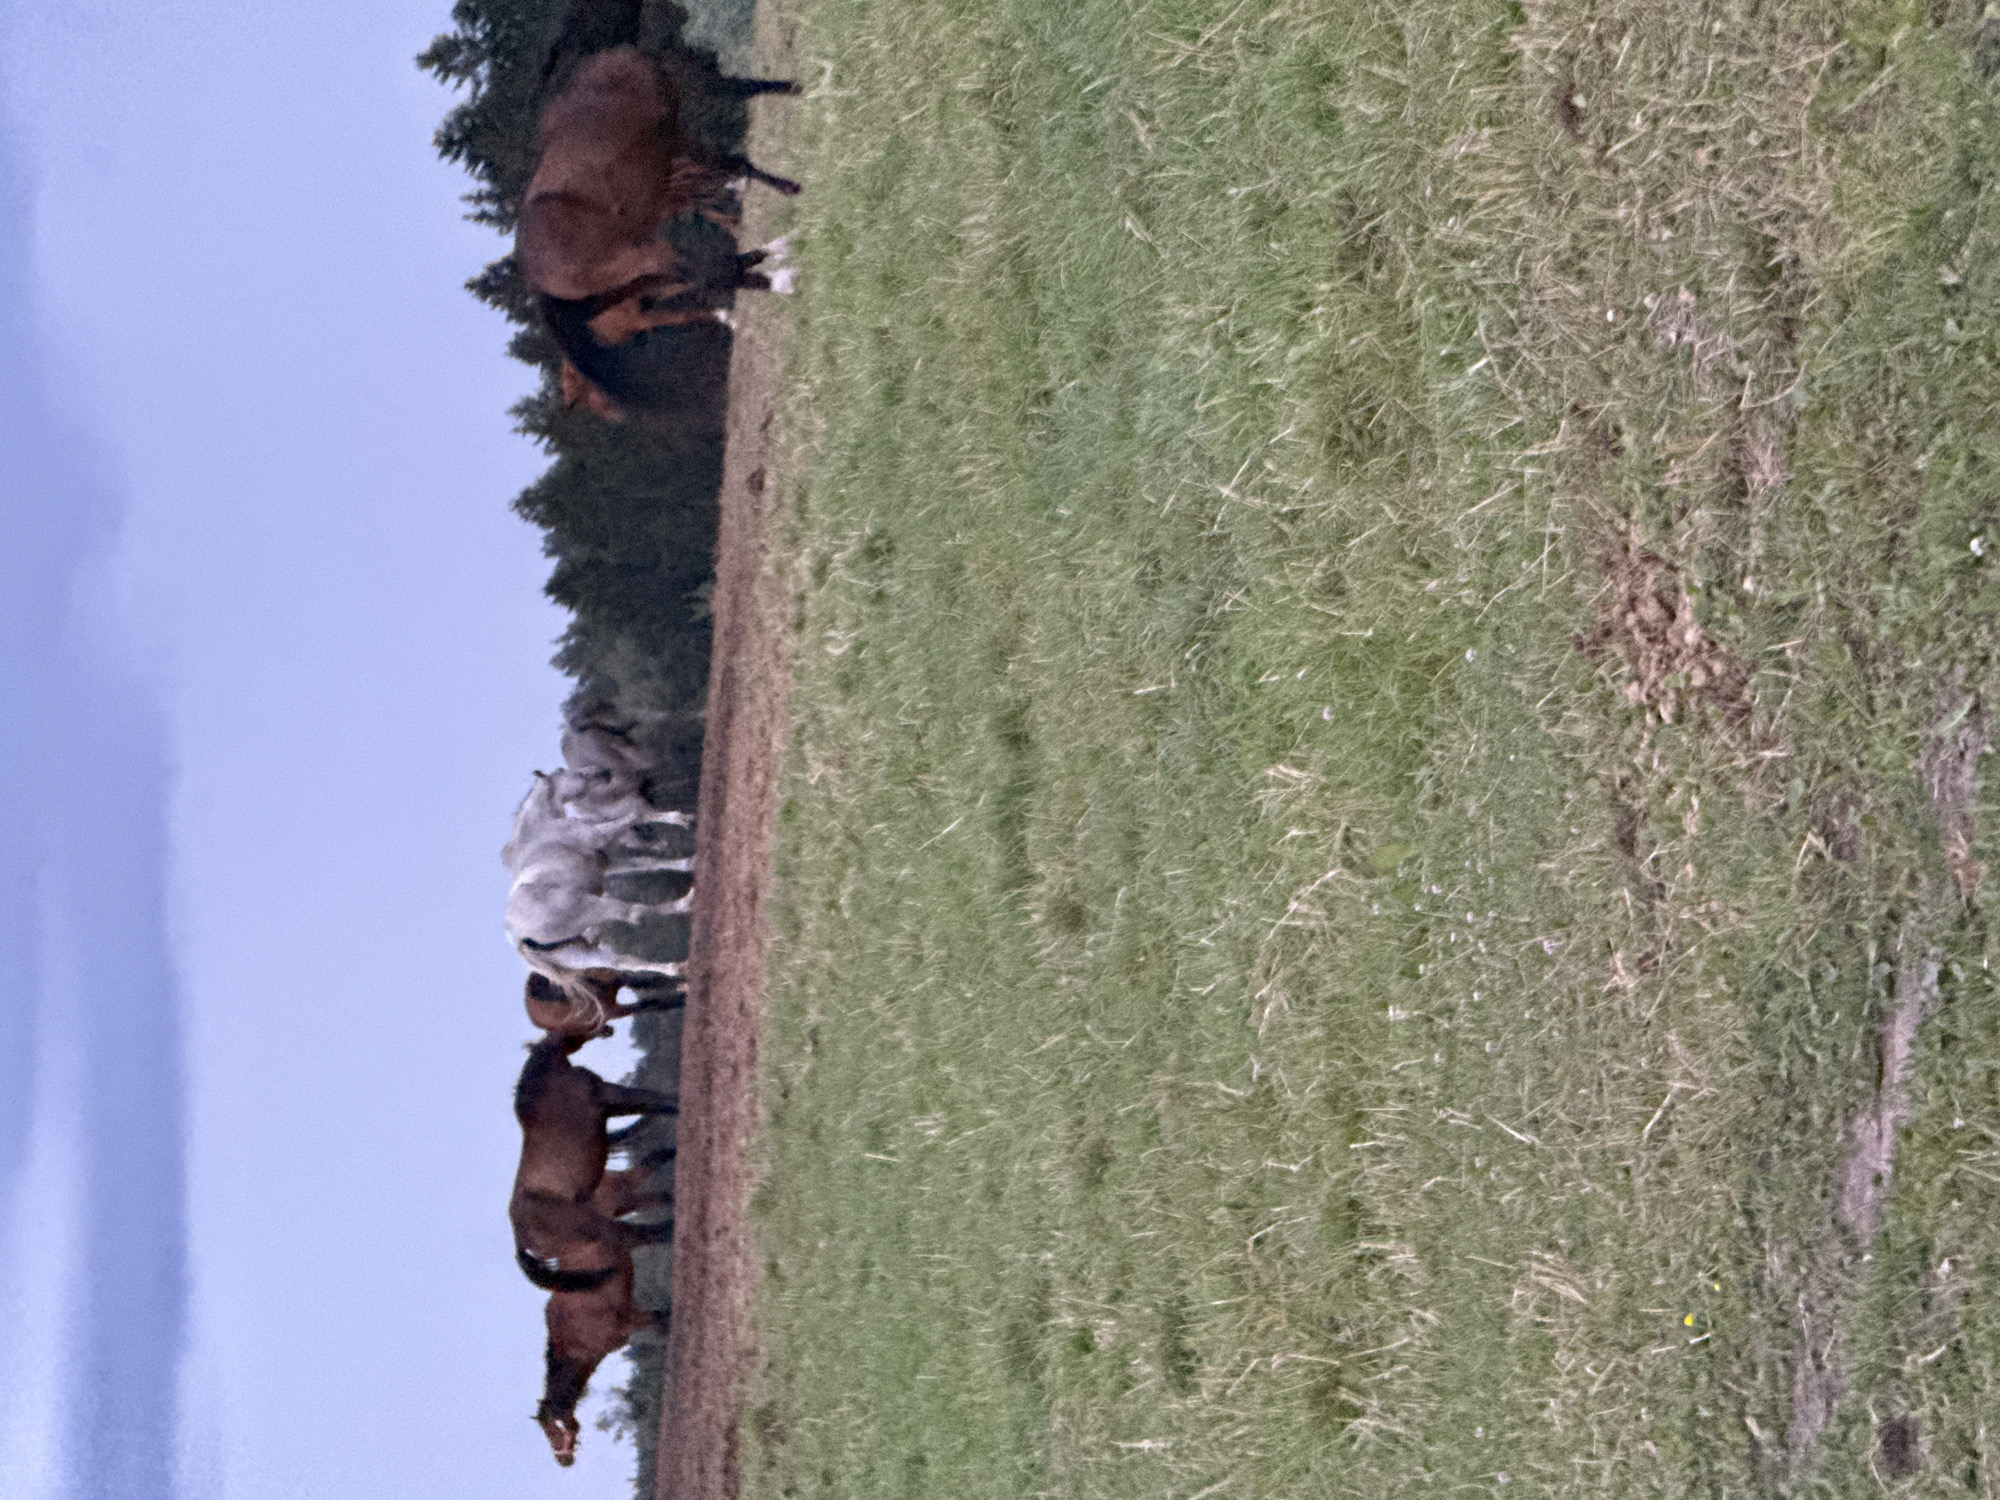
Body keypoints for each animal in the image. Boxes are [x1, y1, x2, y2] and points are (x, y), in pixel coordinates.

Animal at [510, 1030, 679, 1294]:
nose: (608, 1030)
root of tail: (521, 1241)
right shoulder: (611, 1097)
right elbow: (657, 1101)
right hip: (602, 1228)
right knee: (639, 1236)